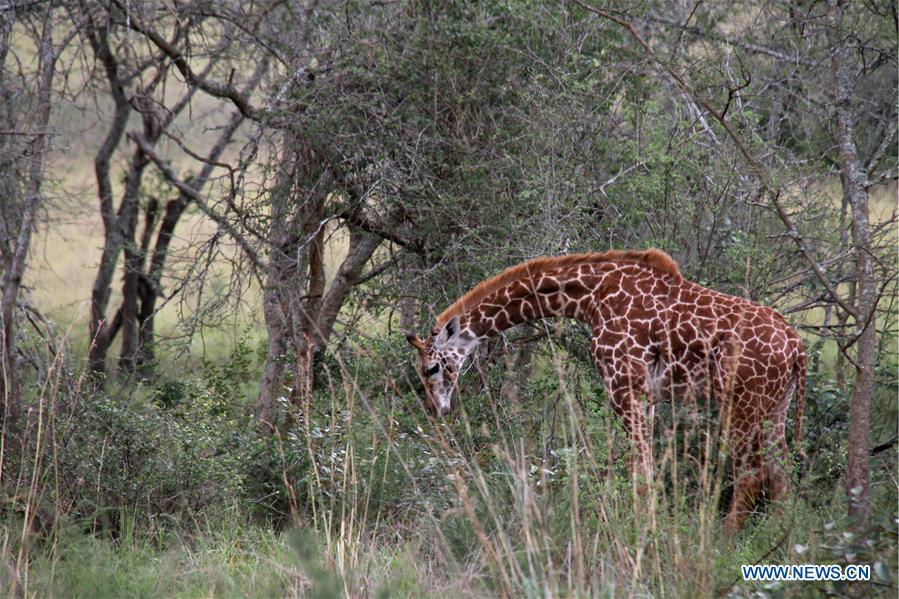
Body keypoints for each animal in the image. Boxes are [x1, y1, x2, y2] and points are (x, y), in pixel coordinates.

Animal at [408, 250, 808, 536]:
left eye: (431, 368)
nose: (437, 410)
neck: (591, 297)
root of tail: (796, 346)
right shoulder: (645, 394)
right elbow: (643, 469)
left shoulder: (623, 385)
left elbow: (641, 471)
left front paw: (643, 534)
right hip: (776, 407)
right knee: (781, 472)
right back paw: (780, 538)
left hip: (741, 405)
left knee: (753, 474)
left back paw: (723, 542)